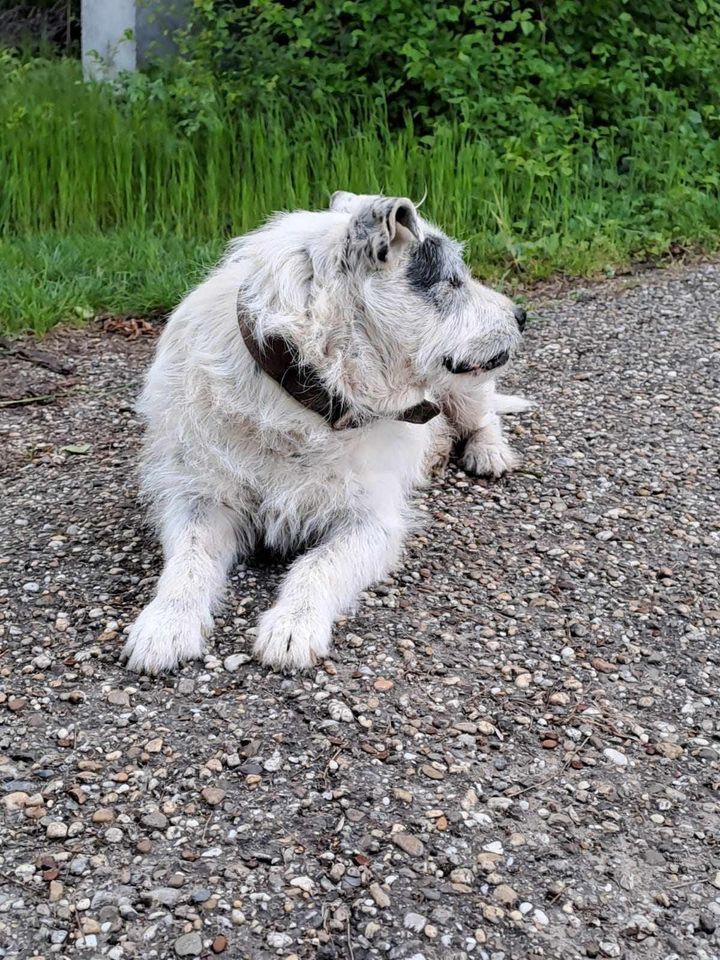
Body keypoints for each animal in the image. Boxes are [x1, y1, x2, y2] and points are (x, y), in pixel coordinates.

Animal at [122, 193, 528, 676]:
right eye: (452, 281)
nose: (522, 315)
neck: (303, 395)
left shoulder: (371, 522)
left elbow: (317, 565)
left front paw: (292, 626)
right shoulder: (199, 498)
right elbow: (188, 561)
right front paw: (166, 624)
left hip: (462, 387)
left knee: (484, 415)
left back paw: (488, 452)